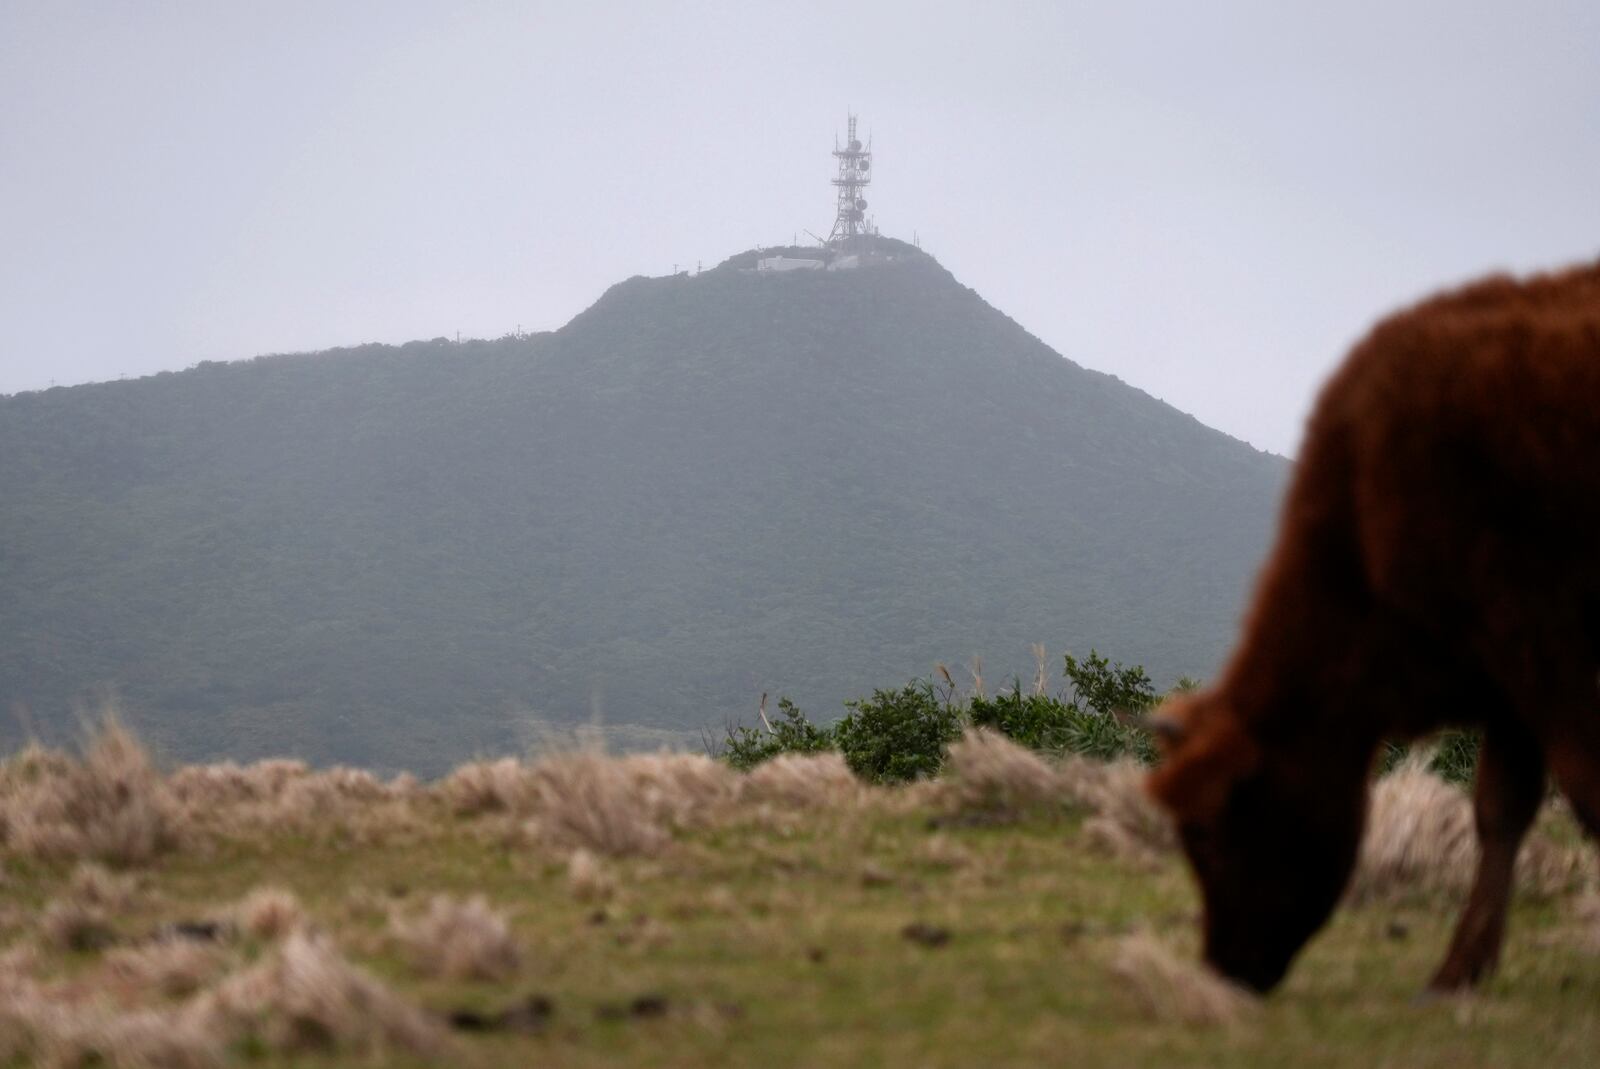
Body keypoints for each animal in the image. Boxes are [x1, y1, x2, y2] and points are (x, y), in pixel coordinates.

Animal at [1158, 259, 1600, 992]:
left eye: (1213, 833)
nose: (1226, 969)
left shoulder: (1548, 657)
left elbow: (1585, 793)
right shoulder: (1510, 683)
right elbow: (1500, 811)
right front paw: (1458, 971)